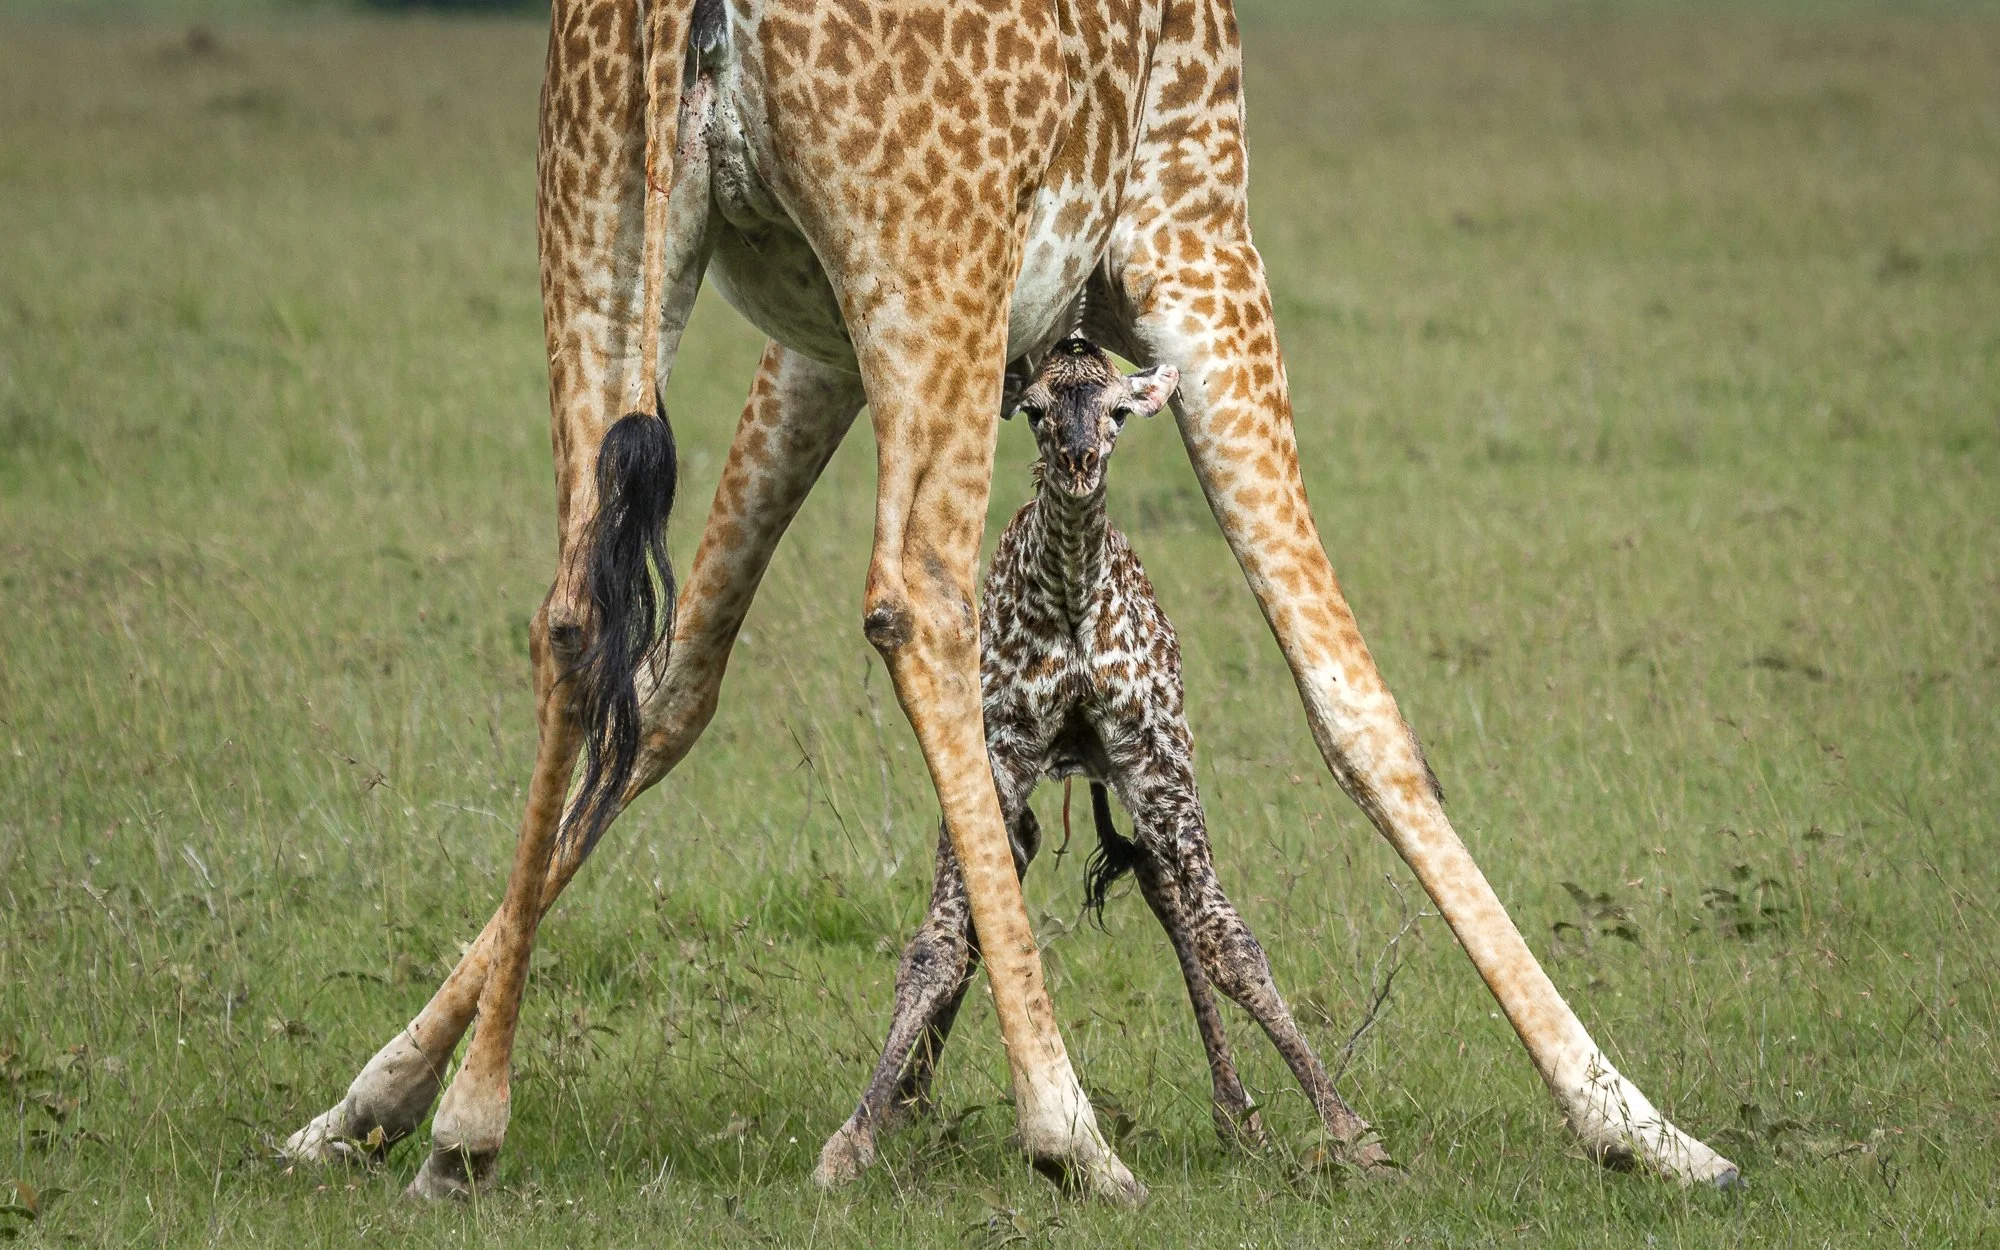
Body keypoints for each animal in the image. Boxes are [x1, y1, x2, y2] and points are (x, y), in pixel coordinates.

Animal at [817, 338, 1393, 1185]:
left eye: (1120, 410)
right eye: (1034, 410)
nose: (1079, 461)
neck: (1071, 600)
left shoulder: (1159, 759)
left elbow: (1232, 943)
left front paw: (1350, 1132)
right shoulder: (999, 752)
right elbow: (934, 948)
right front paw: (855, 1137)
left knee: (1162, 890)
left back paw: (1237, 1114)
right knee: (995, 897)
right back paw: (912, 1099)